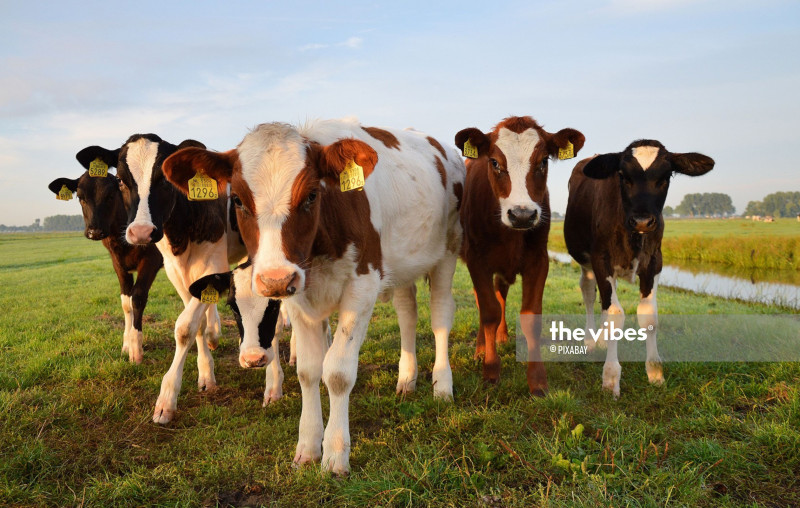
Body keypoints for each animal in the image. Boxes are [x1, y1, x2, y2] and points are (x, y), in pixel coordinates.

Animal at [48, 168, 162, 364]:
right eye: (80, 197)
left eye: (110, 196)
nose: (94, 231)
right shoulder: (118, 263)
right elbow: (126, 303)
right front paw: (127, 345)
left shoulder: (152, 259)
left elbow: (138, 298)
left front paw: (136, 350)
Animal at [77, 134, 248, 424]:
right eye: (120, 180)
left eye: (166, 180)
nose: (141, 232)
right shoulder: (175, 271)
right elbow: (197, 324)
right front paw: (206, 373)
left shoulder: (211, 263)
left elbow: (185, 326)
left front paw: (166, 399)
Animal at [161, 118, 465, 475]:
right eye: (236, 199)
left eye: (311, 195)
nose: (275, 278)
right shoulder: (298, 295)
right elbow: (308, 370)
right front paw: (307, 447)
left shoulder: (363, 286)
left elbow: (338, 371)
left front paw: (335, 453)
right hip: (403, 264)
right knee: (407, 313)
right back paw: (407, 378)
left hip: (448, 250)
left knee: (440, 315)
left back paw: (442, 385)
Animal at [454, 116, 585, 395]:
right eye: (494, 162)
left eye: (543, 161)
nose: (522, 215)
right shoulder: (477, 260)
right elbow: (489, 312)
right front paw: (491, 371)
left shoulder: (539, 261)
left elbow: (530, 317)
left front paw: (537, 381)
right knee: (484, 302)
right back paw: (481, 349)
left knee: (500, 292)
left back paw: (502, 336)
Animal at [564, 140, 714, 397]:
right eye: (623, 176)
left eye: (666, 176)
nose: (643, 221)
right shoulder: (601, 261)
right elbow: (615, 315)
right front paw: (611, 378)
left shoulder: (654, 263)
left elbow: (648, 316)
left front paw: (655, 372)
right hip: (586, 263)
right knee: (589, 293)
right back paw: (591, 341)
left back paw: (601, 340)